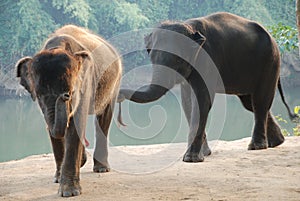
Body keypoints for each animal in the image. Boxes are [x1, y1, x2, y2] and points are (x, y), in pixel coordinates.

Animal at [15, 24, 122, 196]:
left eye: (70, 92)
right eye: (39, 95)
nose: (64, 96)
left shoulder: (86, 82)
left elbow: (76, 124)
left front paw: (69, 192)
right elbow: (53, 127)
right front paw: (59, 179)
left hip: (115, 83)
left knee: (103, 119)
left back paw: (101, 169)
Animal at [118, 12, 298, 163]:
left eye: (178, 60)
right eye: (152, 57)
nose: (118, 95)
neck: (188, 27)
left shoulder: (207, 59)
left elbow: (202, 100)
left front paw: (191, 159)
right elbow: (187, 102)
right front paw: (204, 153)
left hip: (270, 61)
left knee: (259, 101)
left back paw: (257, 146)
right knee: (250, 103)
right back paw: (277, 142)